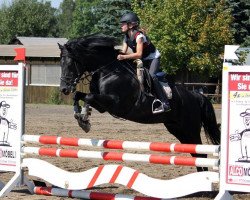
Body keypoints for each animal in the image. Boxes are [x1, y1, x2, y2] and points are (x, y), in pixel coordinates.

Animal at [58, 34, 219, 170]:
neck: (108, 70)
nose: (64, 89)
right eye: (61, 63)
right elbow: (79, 96)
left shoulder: (115, 103)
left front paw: (84, 118)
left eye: (70, 63)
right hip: (178, 129)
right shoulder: (103, 104)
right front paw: (80, 116)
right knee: (196, 154)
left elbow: (89, 97)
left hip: (190, 128)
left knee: (201, 153)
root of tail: (195, 95)